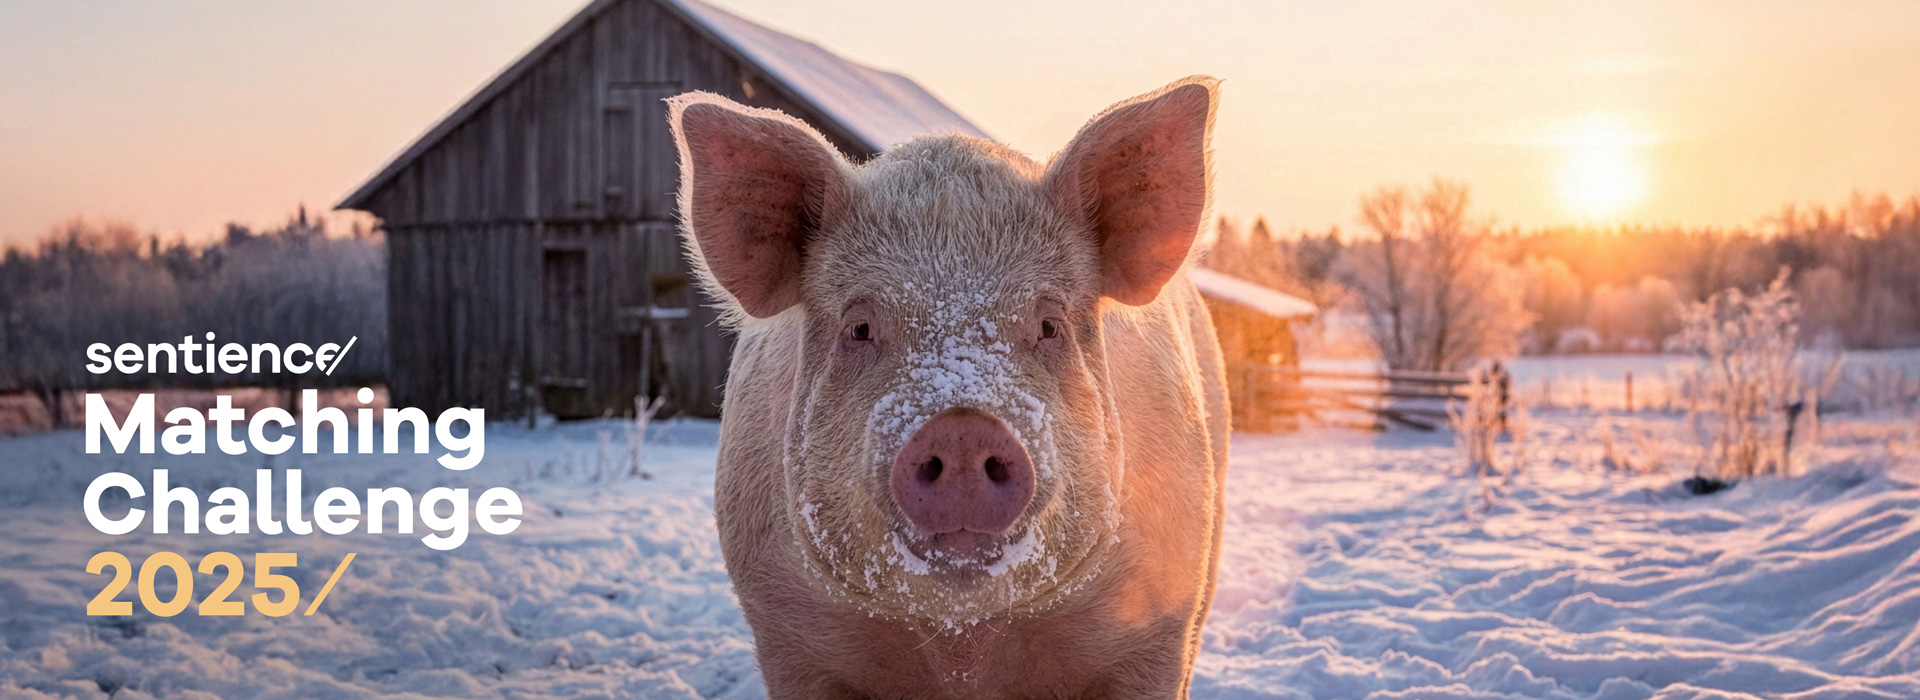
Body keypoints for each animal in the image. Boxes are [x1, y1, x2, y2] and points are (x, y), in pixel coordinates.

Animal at [669, 76, 1230, 699]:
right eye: (859, 328)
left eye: (1049, 325)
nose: (962, 428)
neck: (964, 647)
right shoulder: (788, 637)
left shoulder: (1156, 626)